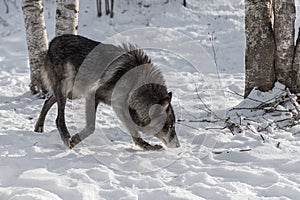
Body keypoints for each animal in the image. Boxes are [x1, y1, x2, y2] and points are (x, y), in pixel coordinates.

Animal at [35, 34, 180, 150]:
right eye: (170, 126)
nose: (178, 145)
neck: (135, 84)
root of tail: (53, 41)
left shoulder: (119, 107)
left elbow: (134, 132)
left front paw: (147, 147)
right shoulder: (93, 95)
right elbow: (91, 127)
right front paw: (74, 141)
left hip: (73, 92)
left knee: (47, 101)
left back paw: (39, 128)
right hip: (67, 90)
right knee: (58, 119)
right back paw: (66, 138)